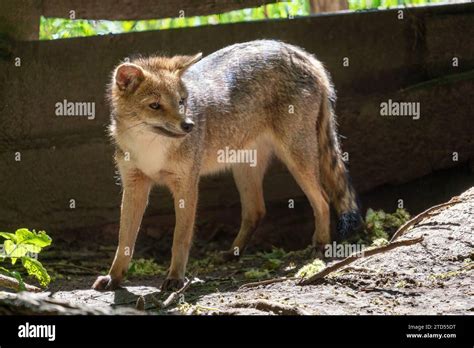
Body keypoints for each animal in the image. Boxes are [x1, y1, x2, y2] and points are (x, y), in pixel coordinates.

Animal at [92, 40, 362, 290]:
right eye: (155, 105)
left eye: (182, 101)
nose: (189, 125)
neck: (151, 149)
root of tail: (302, 53)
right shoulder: (134, 186)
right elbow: (124, 240)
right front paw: (114, 277)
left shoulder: (186, 186)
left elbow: (180, 238)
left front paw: (175, 278)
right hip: (244, 171)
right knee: (256, 211)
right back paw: (233, 253)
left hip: (297, 162)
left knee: (323, 201)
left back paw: (320, 246)